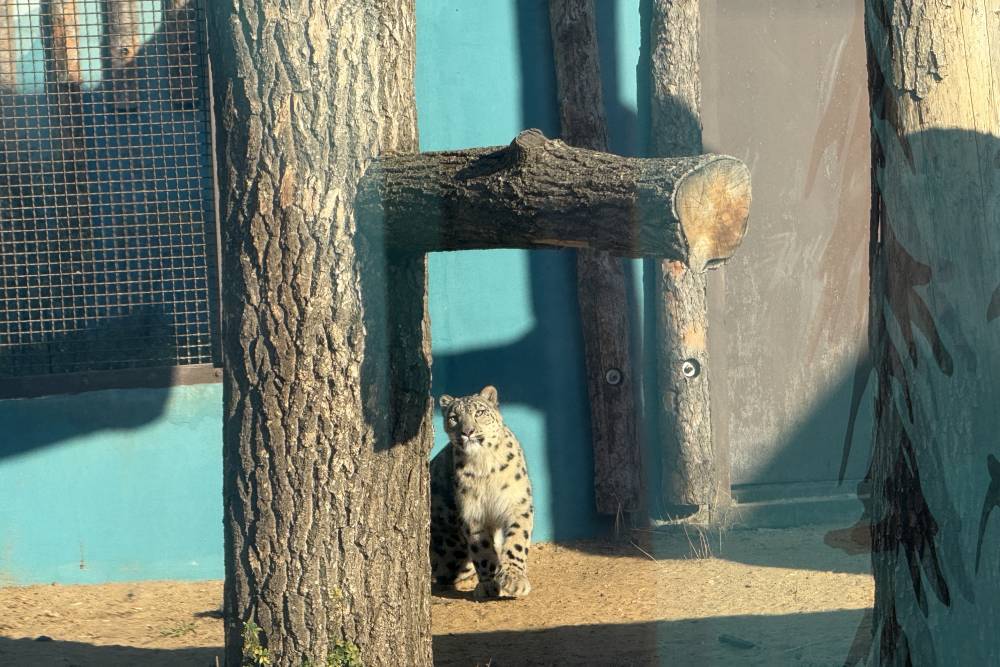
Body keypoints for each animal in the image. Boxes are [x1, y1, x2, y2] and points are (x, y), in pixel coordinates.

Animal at [429, 385, 534, 599]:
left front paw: (514, 580)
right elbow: (482, 549)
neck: (485, 465)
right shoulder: (472, 512)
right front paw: (489, 584)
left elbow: (517, 539)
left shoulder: (517, 503)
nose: (467, 431)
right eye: (453, 417)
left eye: (480, 412)